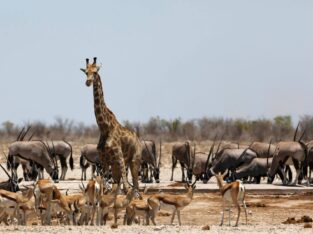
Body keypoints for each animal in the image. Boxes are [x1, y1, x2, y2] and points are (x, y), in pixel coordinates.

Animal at [79, 57, 141, 192]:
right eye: (86, 72)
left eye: (95, 72)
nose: (88, 82)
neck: (104, 128)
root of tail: (138, 140)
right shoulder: (104, 160)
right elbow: (105, 185)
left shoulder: (120, 157)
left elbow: (125, 186)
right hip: (116, 165)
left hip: (134, 160)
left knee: (134, 185)